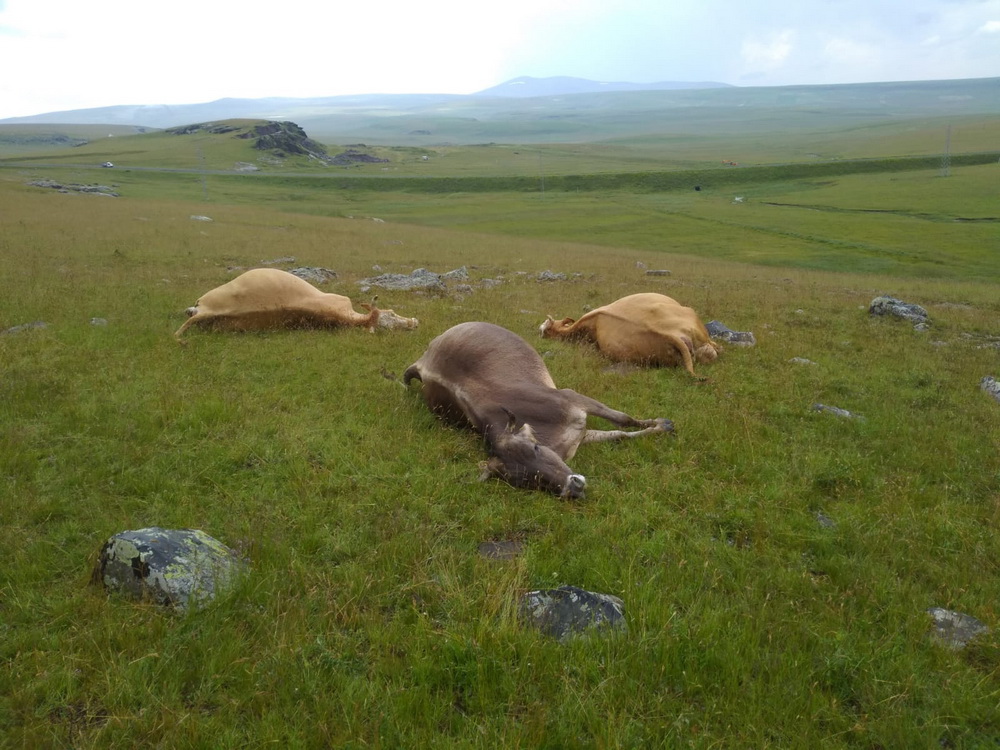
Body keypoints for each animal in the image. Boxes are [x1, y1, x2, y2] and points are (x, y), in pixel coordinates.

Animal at [402, 322, 676, 500]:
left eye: (535, 447)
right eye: (526, 480)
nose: (574, 487)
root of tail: (424, 360)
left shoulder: (573, 399)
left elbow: (623, 421)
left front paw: (663, 424)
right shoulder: (579, 432)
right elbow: (619, 433)